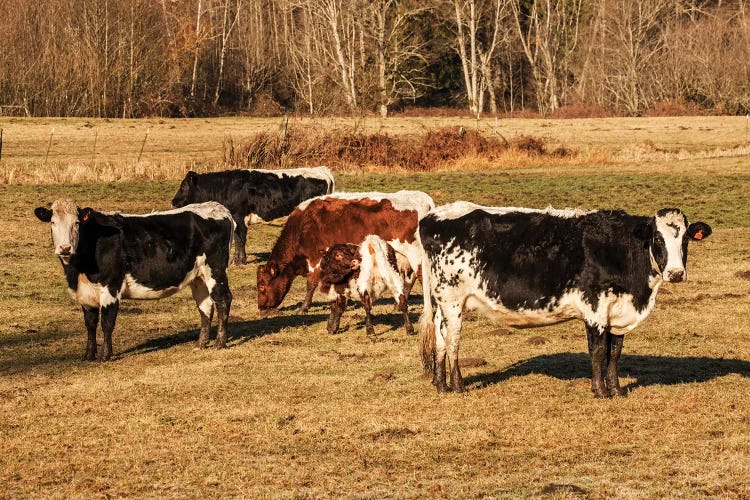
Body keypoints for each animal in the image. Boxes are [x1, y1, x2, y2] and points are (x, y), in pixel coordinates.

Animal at [34, 198, 235, 360]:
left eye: (76, 223)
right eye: (52, 222)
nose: (65, 248)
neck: (78, 271)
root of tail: (219, 208)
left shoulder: (110, 286)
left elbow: (107, 323)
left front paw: (106, 355)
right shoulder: (85, 293)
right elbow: (90, 324)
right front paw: (88, 355)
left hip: (216, 270)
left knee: (223, 300)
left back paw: (220, 343)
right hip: (198, 277)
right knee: (205, 306)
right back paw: (200, 344)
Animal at [172, 167, 336, 266]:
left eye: (184, 186)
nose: (173, 202)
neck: (226, 188)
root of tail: (322, 170)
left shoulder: (239, 217)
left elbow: (240, 239)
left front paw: (240, 260)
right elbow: (238, 239)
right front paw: (237, 259)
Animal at [258, 189, 434, 334]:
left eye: (261, 286)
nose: (261, 307)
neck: (303, 226)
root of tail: (425, 200)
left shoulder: (316, 261)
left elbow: (311, 284)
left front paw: (304, 308)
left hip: (416, 256)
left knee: (423, 279)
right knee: (409, 280)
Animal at [420, 202, 712, 398]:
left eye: (685, 239)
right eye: (657, 239)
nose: (676, 273)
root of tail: (433, 216)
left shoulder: (618, 312)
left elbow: (615, 352)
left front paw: (616, 389)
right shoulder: (595, 307)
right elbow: (598, 351)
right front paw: (599, 391)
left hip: (443, 302)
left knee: (440, 337)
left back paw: (440, 384)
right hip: (452, 299)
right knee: (453, 339)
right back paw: (458, 385)